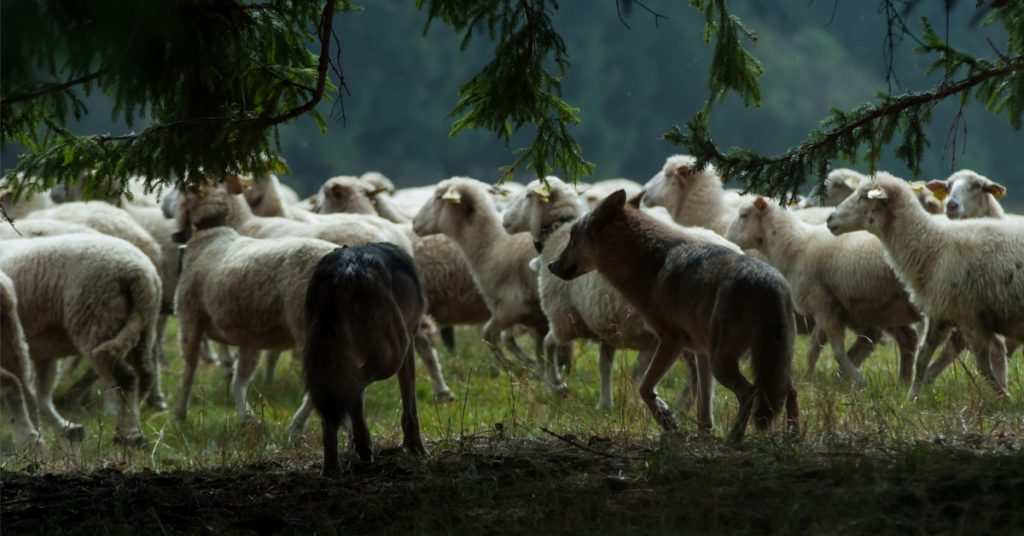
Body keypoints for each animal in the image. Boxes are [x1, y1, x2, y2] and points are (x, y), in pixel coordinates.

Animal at [0, 234, 159, 444]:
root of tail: (139, 272)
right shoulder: (42, 351)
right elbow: (41, 390)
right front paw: (62, 428)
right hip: (141, 329)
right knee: (145, 375)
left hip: (97, 320)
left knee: (125, 378)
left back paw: (129, 434)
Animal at [305, 242, 430, 473]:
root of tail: (343, 272)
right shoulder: (410, 345)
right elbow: (411, 409)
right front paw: (417, 451)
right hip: (394, 355)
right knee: (353, 388)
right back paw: (363, 445)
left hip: (325, 363)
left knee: (332, 409)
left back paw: (332, 469)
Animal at [552, 190, 798, 442]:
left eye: (572, 237)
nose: (551, 265)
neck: (647, 262)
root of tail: (770, 283)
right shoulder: (701, 352)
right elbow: (703, 408)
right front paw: (700, 434)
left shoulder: (671, 341)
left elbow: (644, 387)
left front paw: (667, 420)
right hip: (764, 361)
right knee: (790, 390)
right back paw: (793, 436)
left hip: (724, 362)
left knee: (749, 392)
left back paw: (734, 439)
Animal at [823, 173, 1024, 397]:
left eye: (863, 197)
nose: (830, 219)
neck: (932, 244)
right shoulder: (942, 312)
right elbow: (923, 358)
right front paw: (912, 397)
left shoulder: (971, 317)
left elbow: (983, 367)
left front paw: (1005, 397)